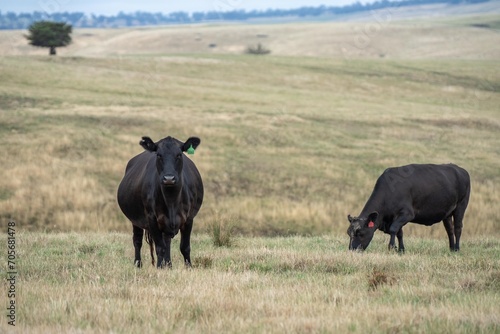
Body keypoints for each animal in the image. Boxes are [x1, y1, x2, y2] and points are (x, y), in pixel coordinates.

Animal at [117, 134, 203, 268]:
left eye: (179, 154)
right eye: (158, 155)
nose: (169, 178)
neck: (171, 200)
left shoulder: (189, 218)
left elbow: (185, 247)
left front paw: (189, 267)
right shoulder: (152, 218)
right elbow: (160, 248)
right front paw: (159, 267)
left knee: (167, 240)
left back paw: (169, 265)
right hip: (135, 219)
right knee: (137, 240)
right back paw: (138, 264)